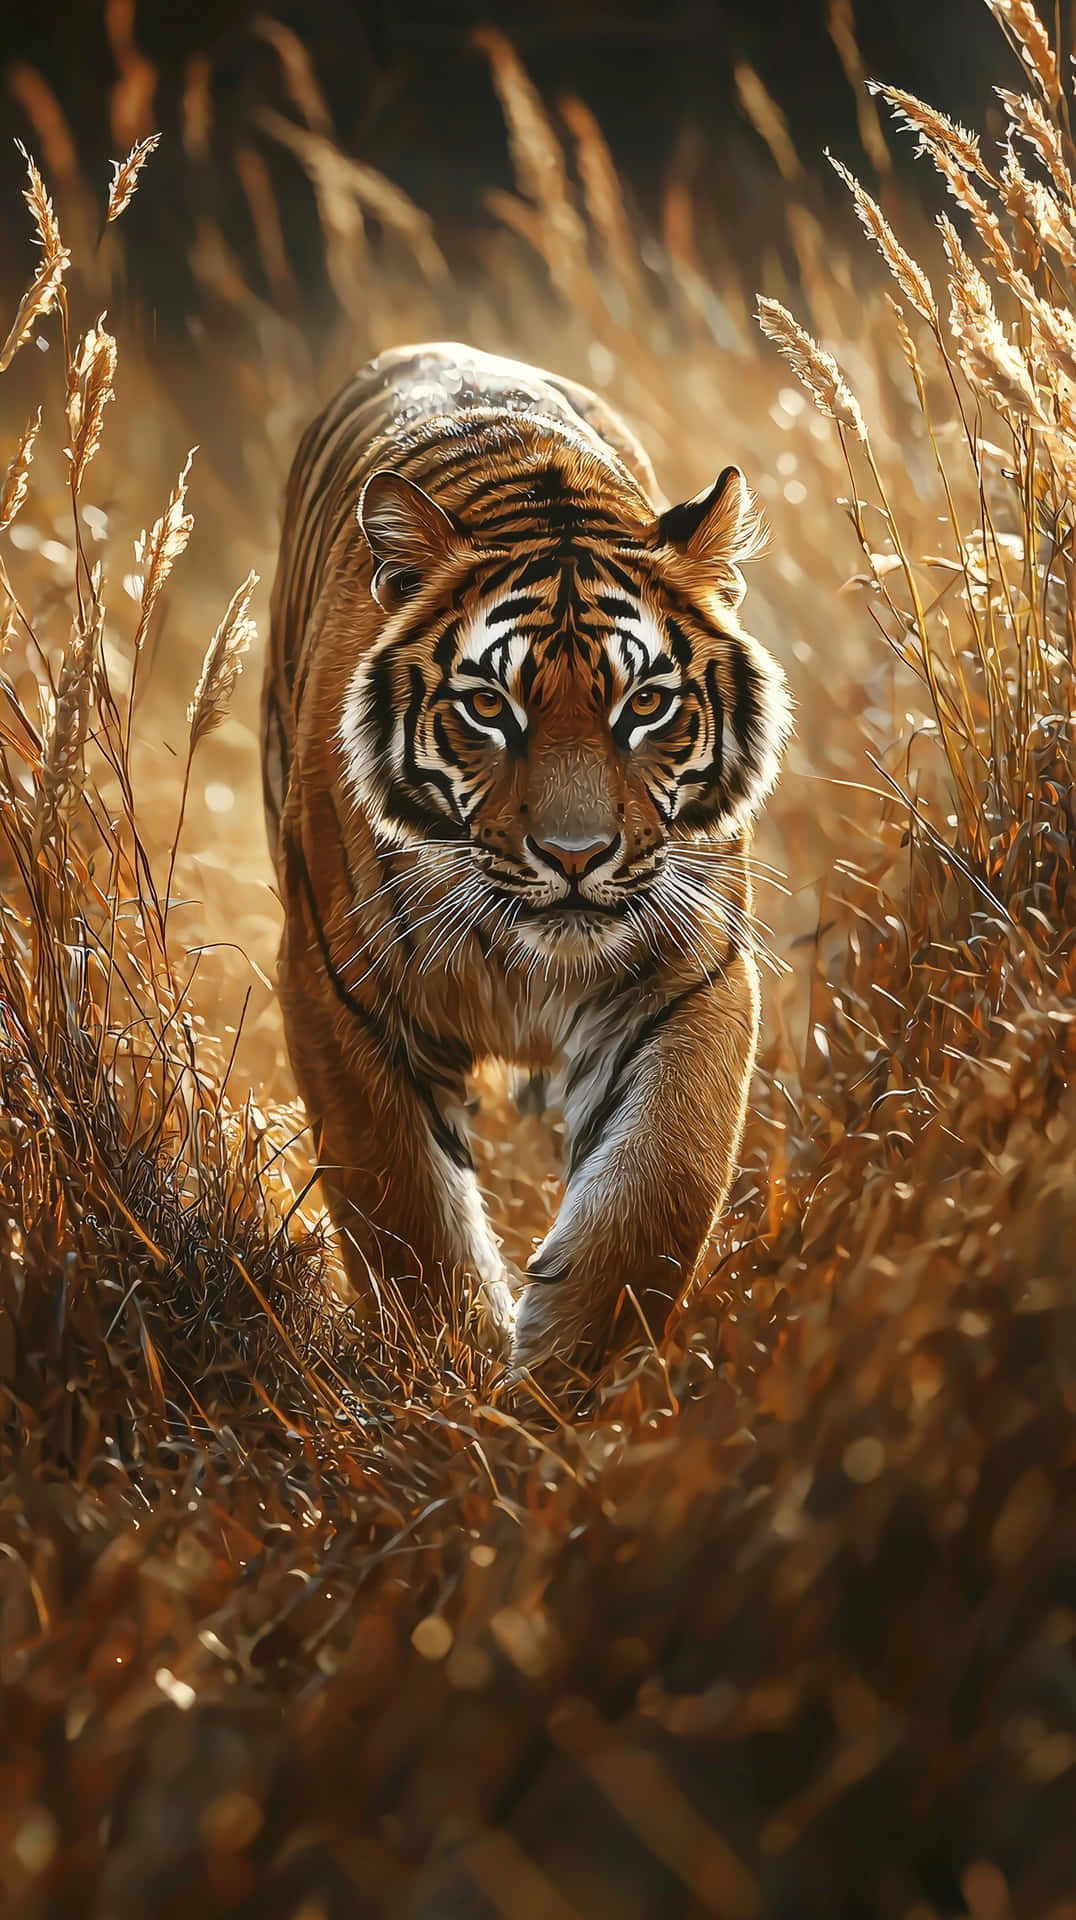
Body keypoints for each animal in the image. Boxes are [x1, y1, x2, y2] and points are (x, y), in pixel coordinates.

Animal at [263, 342, 791, 1373]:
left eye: (645, 705)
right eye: (487, 708)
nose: (575, 856)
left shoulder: (692, 975)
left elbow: (659, 1182)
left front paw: (562, 1373)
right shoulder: (336, 988)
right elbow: (404, 1213)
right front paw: (452, 1371)